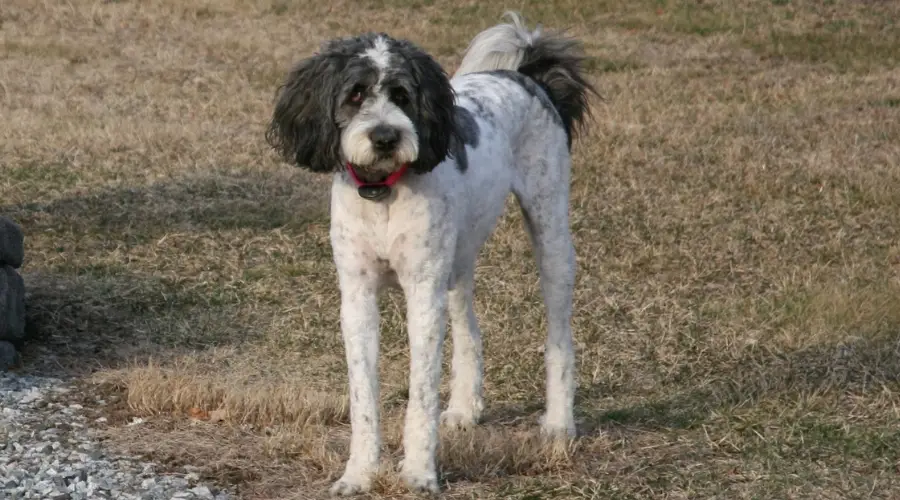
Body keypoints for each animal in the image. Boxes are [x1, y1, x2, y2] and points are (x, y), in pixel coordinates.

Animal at [264, 11, 596, 496]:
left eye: (403, 95)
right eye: (356, 93)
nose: (386, 136)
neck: (382, 193)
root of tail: (525, 75)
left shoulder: (422, 295)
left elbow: (420, 393)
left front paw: (419, 472)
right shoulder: (358, 299)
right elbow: (363, 396)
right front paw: (359, 473)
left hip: (550, 236)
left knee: (559, 337)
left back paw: (558, 423)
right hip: (456, 262)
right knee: (470, 329)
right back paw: (464, 408)